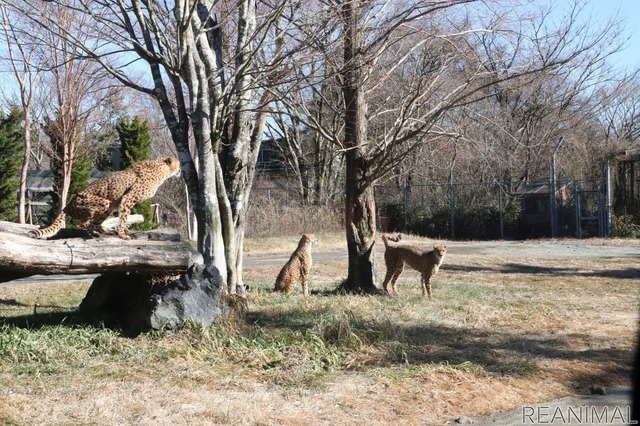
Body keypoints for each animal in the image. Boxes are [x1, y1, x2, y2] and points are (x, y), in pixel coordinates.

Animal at [28, 156, 181, 240]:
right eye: (178, 164)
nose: (180, 170)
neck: (161, 169)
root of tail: (68, 204)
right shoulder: (128, 198)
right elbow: (123, 218)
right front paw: (123, 234)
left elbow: (123, 218)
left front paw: (123, 231)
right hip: (105, 203)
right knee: (83, 224)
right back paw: (100, 231)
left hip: (109, 207)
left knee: (93, 223)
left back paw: (104, 230)